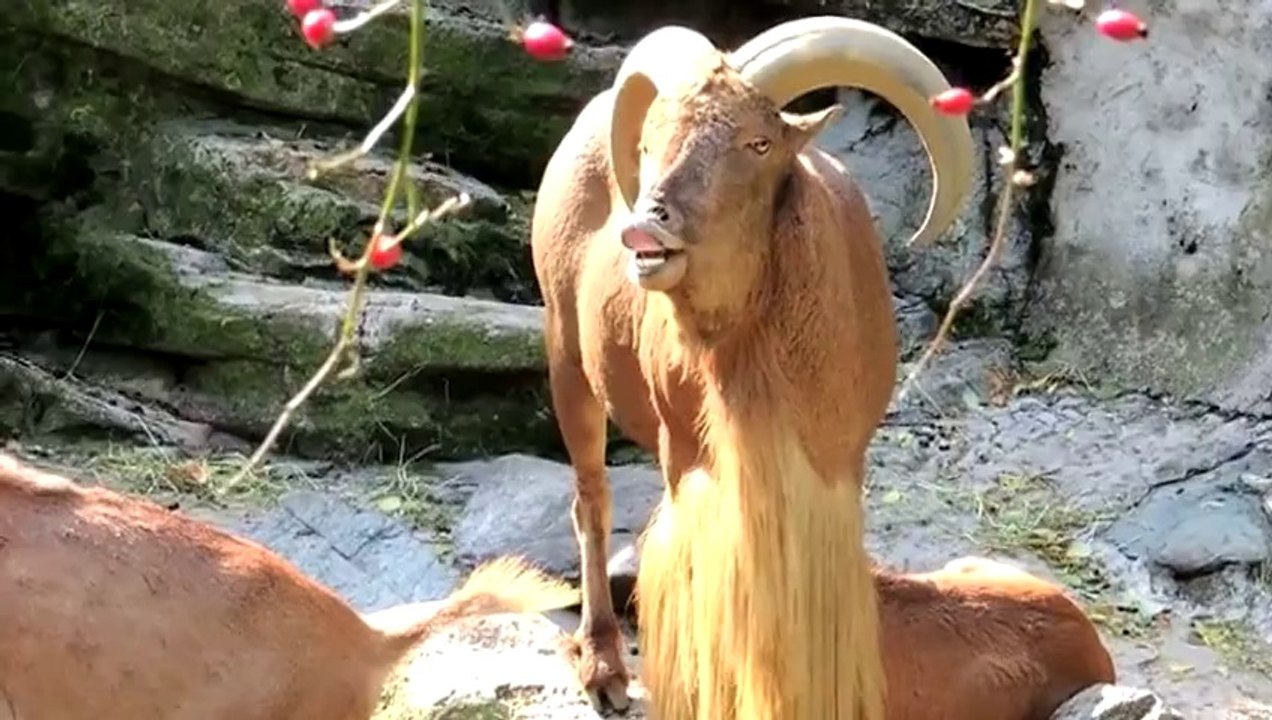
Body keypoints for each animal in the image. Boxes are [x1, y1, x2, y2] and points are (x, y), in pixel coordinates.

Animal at [530, 15, 975, 719]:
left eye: (759, 142)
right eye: (651, 140)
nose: (646, 226)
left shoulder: (835, 464)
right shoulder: (690, 458)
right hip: (567, 356)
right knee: (591, 502)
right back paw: (604, 666)